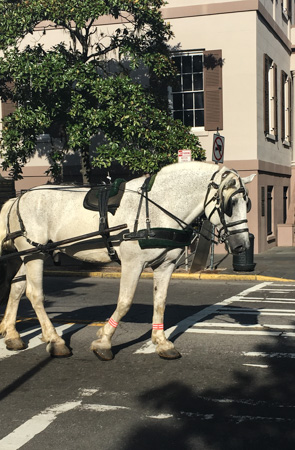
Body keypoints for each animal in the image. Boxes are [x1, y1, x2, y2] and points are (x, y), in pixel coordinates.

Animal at [0, 162, 254, 358]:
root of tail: (18, 199)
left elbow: (160, 302)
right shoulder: (133, 263)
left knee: (17, 288)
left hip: (31, 254)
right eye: (230, 204)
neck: (157, 208)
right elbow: (124, 302)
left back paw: (13, 334)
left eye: (247, 204)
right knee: (34, 294)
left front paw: (161, 341)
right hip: (34, 254)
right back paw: (55, 340)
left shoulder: (165, 265)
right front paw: (104, 341)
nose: (243, 245)